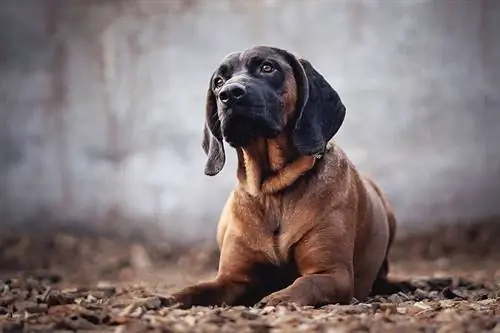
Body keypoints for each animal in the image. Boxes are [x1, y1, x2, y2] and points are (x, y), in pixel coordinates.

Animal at [168, 45, 398, 308]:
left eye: (267, 67)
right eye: (218, 82)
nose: (229, 94)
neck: (273, 190)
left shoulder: (332, 274)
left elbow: (304, 284)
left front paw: (275, 299)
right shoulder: (232, 278)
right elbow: (197, 289)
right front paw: (164, 299)